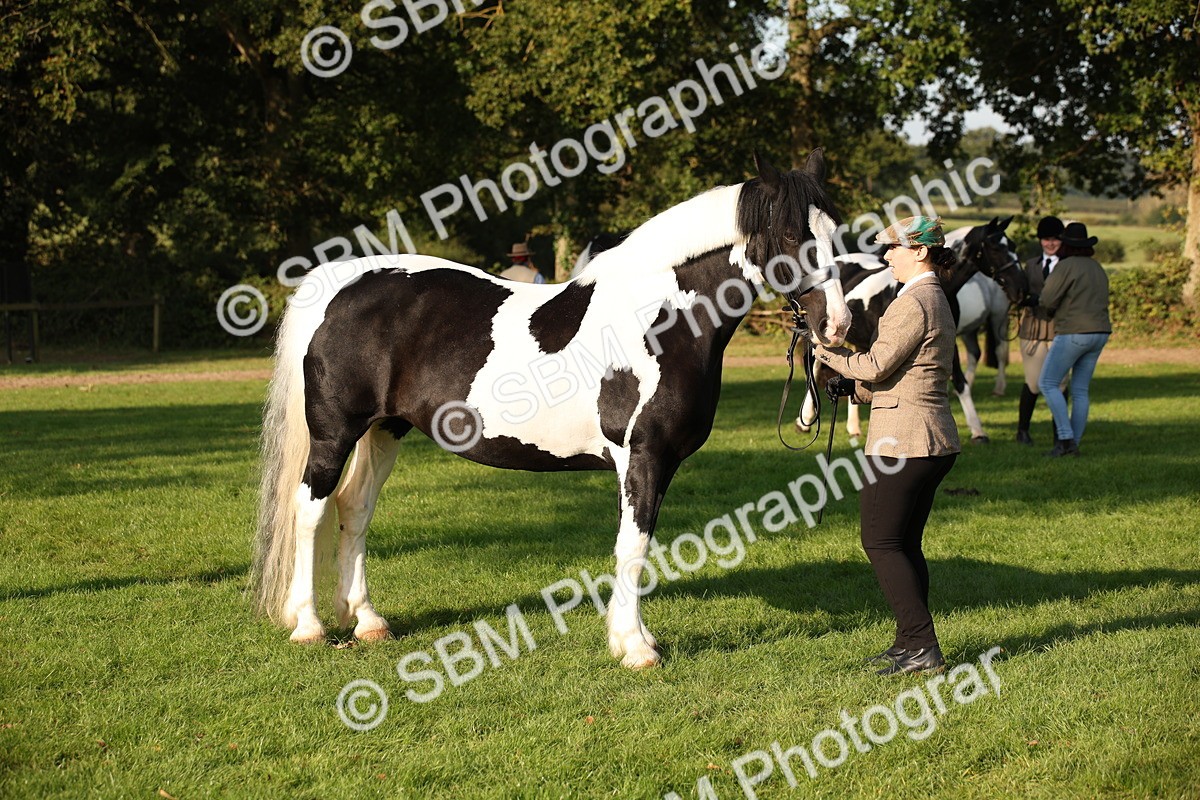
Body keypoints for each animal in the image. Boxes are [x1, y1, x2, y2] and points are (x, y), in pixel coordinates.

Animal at [252, 151, 852, 669]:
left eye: (835, 233)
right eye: (790, 235)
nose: (838, 326)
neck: (659, 318)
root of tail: (335, 286)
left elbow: (640, 546)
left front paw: (634, 637)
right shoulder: (642, 456)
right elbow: (633, 546)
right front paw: (635, 648)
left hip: (384, 430)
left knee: (355, 509)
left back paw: (368, 621)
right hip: (335, 434)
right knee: (311, 511)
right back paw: (308, 625)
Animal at [796, 217, 1026, 444]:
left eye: (1013, 246)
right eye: (996, 247)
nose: (1020, 289)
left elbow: (961, 382)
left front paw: (978, 431)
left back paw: (853, 427)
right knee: (813, 363)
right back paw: (805, 421)